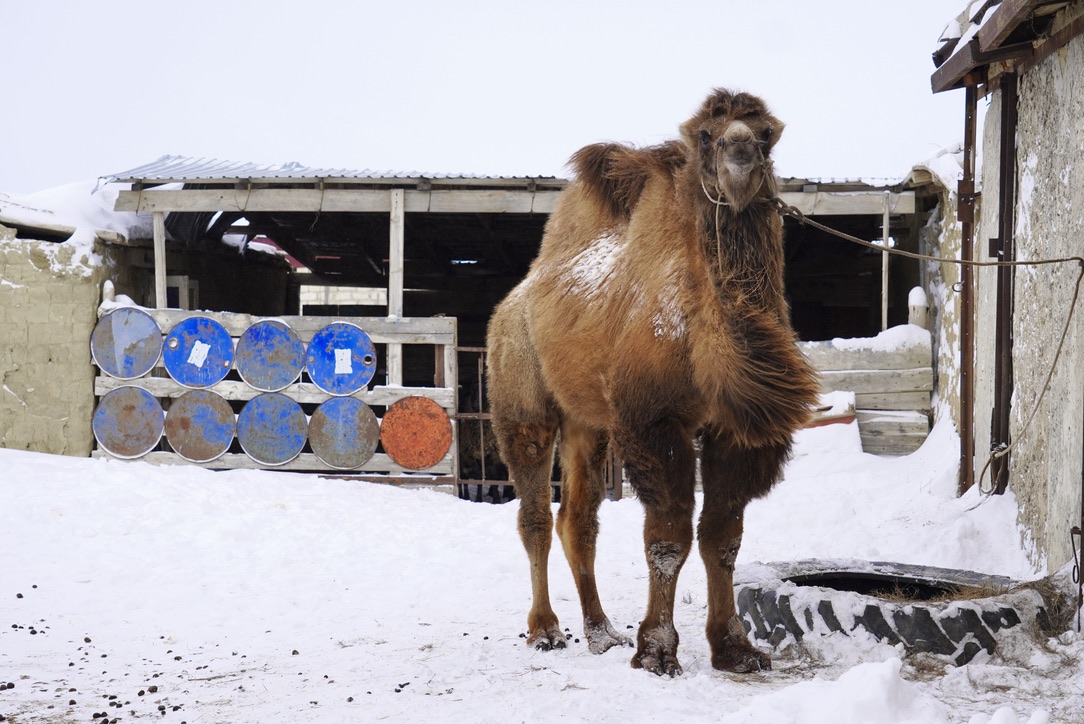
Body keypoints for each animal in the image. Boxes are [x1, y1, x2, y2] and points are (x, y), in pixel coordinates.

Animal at [486, 88, 821, 676]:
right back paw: (546, 630)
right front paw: (658, 650)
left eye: (765, 134)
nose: (739, 152)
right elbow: (668, 536)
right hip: (523, 401)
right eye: (707, 135)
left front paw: (735, 648)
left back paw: (600, 631)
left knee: (579, 521)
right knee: (535, 517)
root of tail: (511, 302)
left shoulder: (733, 431)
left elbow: (723, 537)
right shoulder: (653, 419)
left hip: (588, 422)